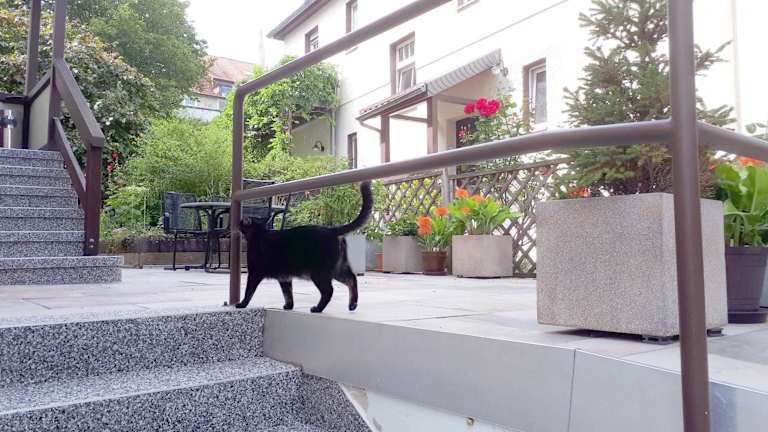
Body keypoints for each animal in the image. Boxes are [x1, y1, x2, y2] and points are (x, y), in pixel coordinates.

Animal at [235, 181, 373, 313]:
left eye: (241, 223)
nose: (238, 222)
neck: (260, 233)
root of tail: (331, 229)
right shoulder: (284, 277)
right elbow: (288, 293)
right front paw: (289, 306)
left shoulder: (254, 272)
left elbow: (249, 291)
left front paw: (242, 304)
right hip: (338, 268)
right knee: (352, 279)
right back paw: (352, 305)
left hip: (319, 272)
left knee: (329, 290)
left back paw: (317, 309)